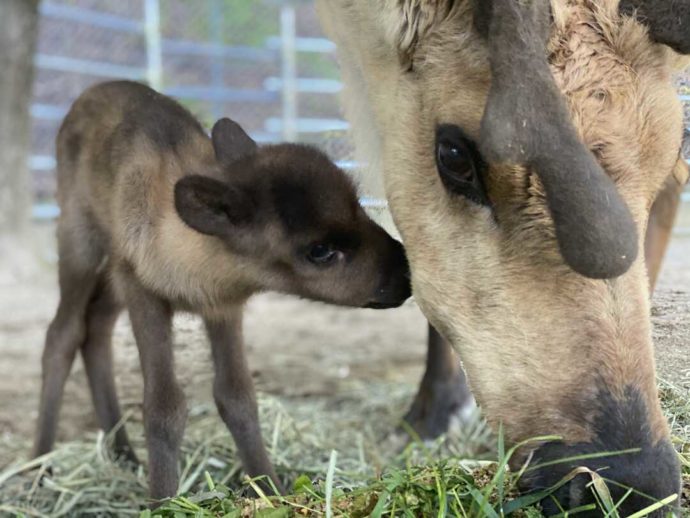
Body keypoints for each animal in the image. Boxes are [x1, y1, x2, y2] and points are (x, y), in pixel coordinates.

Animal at [33, 80, 408, 500]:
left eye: (358, 205)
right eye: (320, 251)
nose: (404, 273)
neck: (182, 242)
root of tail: (93, 90)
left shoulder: (222, 306)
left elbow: (237, 398)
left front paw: (271, 490)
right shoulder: (142, 292)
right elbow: (163, 408)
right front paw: (163, 502)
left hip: (111, 271)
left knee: (96, 328)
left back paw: (124, 456)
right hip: (80, 241)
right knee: (63, 334)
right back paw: (40, 466)